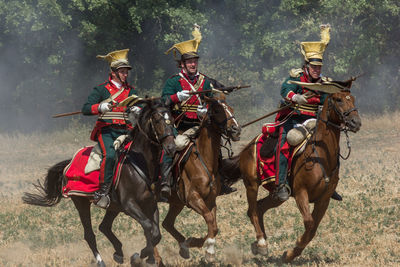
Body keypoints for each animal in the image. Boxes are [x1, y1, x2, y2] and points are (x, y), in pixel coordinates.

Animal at [21, 100, 175, 267]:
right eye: (158, 120)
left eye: (172, 119)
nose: (171, 147)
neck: (139, 163)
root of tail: (70, 161)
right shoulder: (130, 205)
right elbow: (148, 227)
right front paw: (139, 256)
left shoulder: (150, 204)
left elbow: (156, 233)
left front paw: (148, 256)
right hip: (81, 202)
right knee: (89, 234)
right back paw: (101, 261)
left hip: (114, 207)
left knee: (104, 227)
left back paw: (119, 253)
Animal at [160, 93, 241, 262]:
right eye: (217, 110)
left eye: (231, 108)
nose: (236, 130)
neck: (204, 160)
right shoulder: (193, 198)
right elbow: (210, 219)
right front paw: (206, 250)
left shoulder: (210, 200)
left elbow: (214, 226)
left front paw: (201, 246)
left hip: (176, 203)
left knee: (167, 224)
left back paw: (184, 247)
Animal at [220, 89, 360, 264]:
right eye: (339, 100)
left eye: (352, 99)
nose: (355, 122)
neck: (320, 156)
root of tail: (248, 147)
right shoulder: (301, 193)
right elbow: (309, 223)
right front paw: (292, 250)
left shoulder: (324, 199)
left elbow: (313, 229)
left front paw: (289, 254)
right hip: (251, 185)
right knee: (252, 211)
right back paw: (261, 243)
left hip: (278, 196)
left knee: (259, 207)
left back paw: (259, 243)